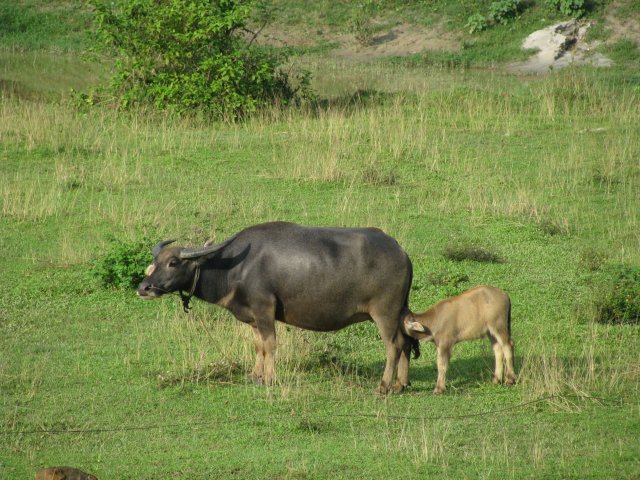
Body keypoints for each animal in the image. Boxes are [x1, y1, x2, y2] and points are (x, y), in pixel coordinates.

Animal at [138, 222, 418, 394]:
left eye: (173, 262)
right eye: (155, 261)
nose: (144, 287)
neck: (235, 268)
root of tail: (401, 252)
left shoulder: (265, 309)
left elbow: (270, 344)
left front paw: (270, 378)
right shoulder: (252, 316)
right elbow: (258, 345)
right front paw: (255, 375)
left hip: (384, 313)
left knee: (393, 346)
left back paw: (383, 386)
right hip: (398, 312)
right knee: (405, 342)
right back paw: (401, 384)